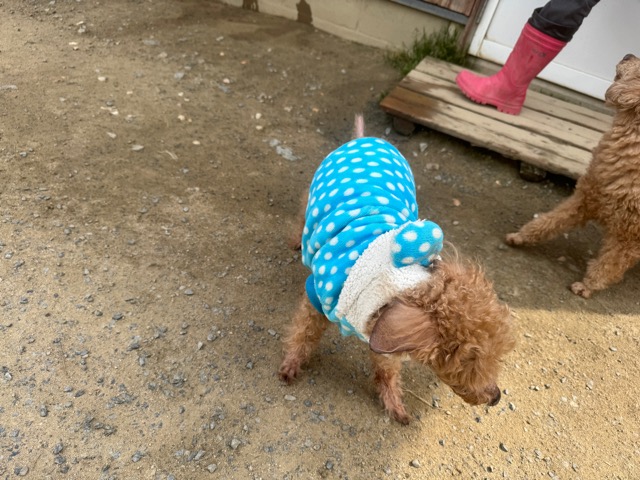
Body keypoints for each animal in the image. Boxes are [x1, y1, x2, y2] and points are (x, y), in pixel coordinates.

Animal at [279, 115, 515, 424]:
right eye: (468, 358)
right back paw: (297, 241)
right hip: (312, 195)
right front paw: (290, 366)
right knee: (301, 217)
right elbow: (304, 332)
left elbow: (387, 367)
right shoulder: (317, 296)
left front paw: (395, 405)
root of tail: (364, 138)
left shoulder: (383, 335)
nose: (495, 397)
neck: (398, 280)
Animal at [506, 54, 640, 298]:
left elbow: (609, 265)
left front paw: (588, 286)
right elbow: (550, 220)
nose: (628, 55)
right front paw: (520, 237)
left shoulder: (628, 238)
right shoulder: (585, 199)